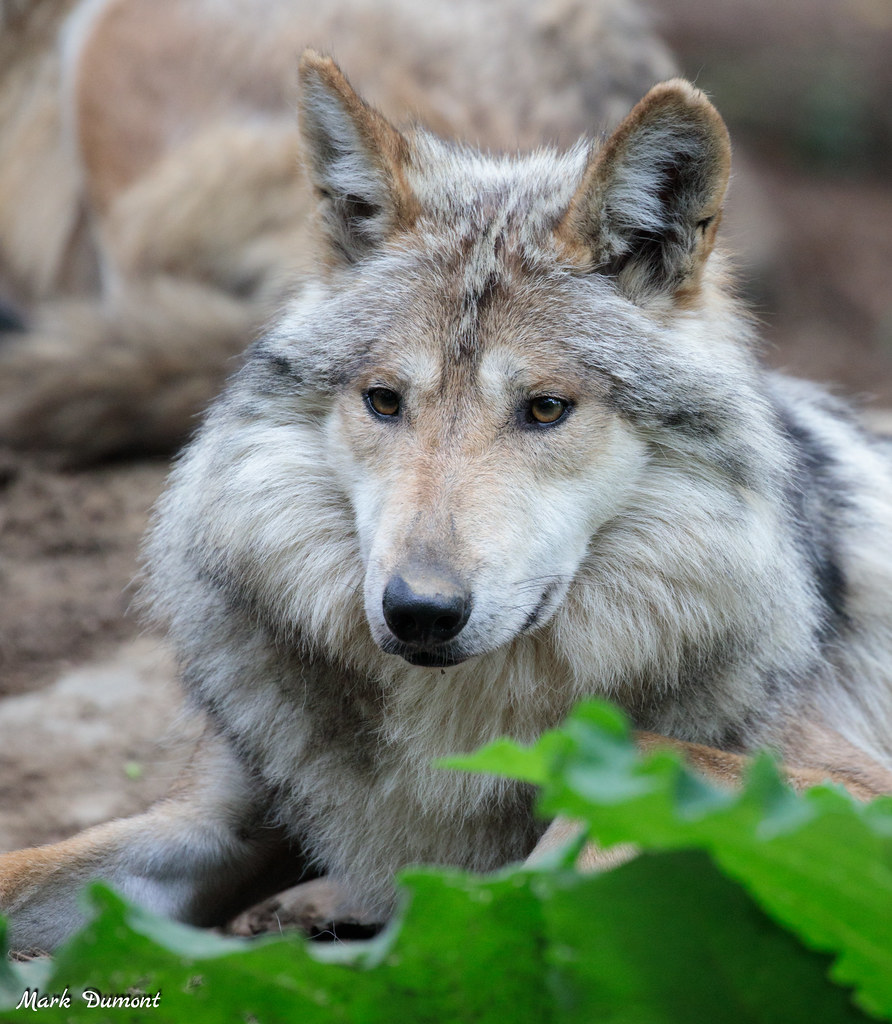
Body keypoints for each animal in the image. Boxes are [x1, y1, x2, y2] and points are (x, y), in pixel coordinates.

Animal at [3, 52, 892, 953]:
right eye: (385, 401)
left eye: (545, 409)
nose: (420, 612)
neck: (455, 719)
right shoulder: (224, 814)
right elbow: (29, 871)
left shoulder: (840, 798)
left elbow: (602, 802)